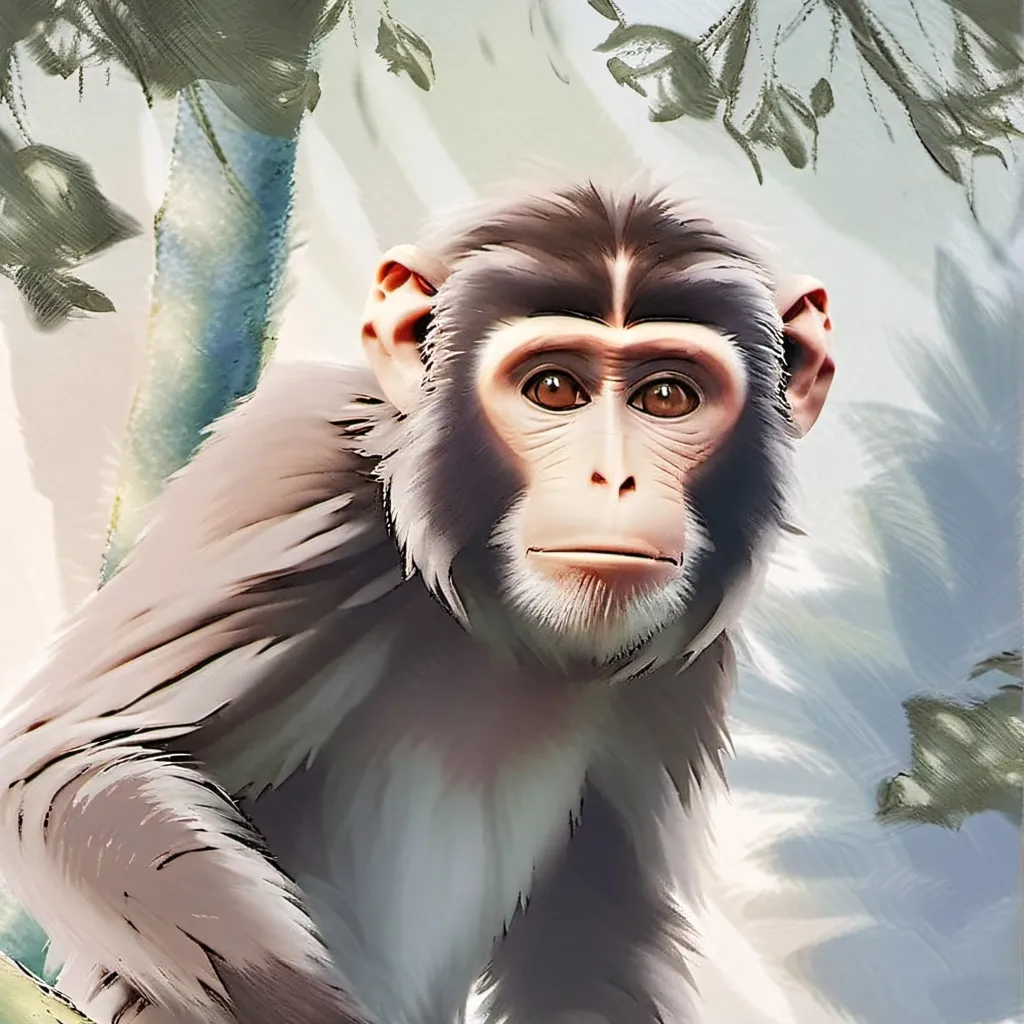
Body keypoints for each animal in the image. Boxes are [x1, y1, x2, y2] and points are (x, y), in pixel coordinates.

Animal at [0, 179, 834, 1024]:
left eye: (666, 396)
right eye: (553, 388)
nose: (615, 478)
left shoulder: (685, 661)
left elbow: (599, 925)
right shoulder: (297, 467)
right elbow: (76, 765)